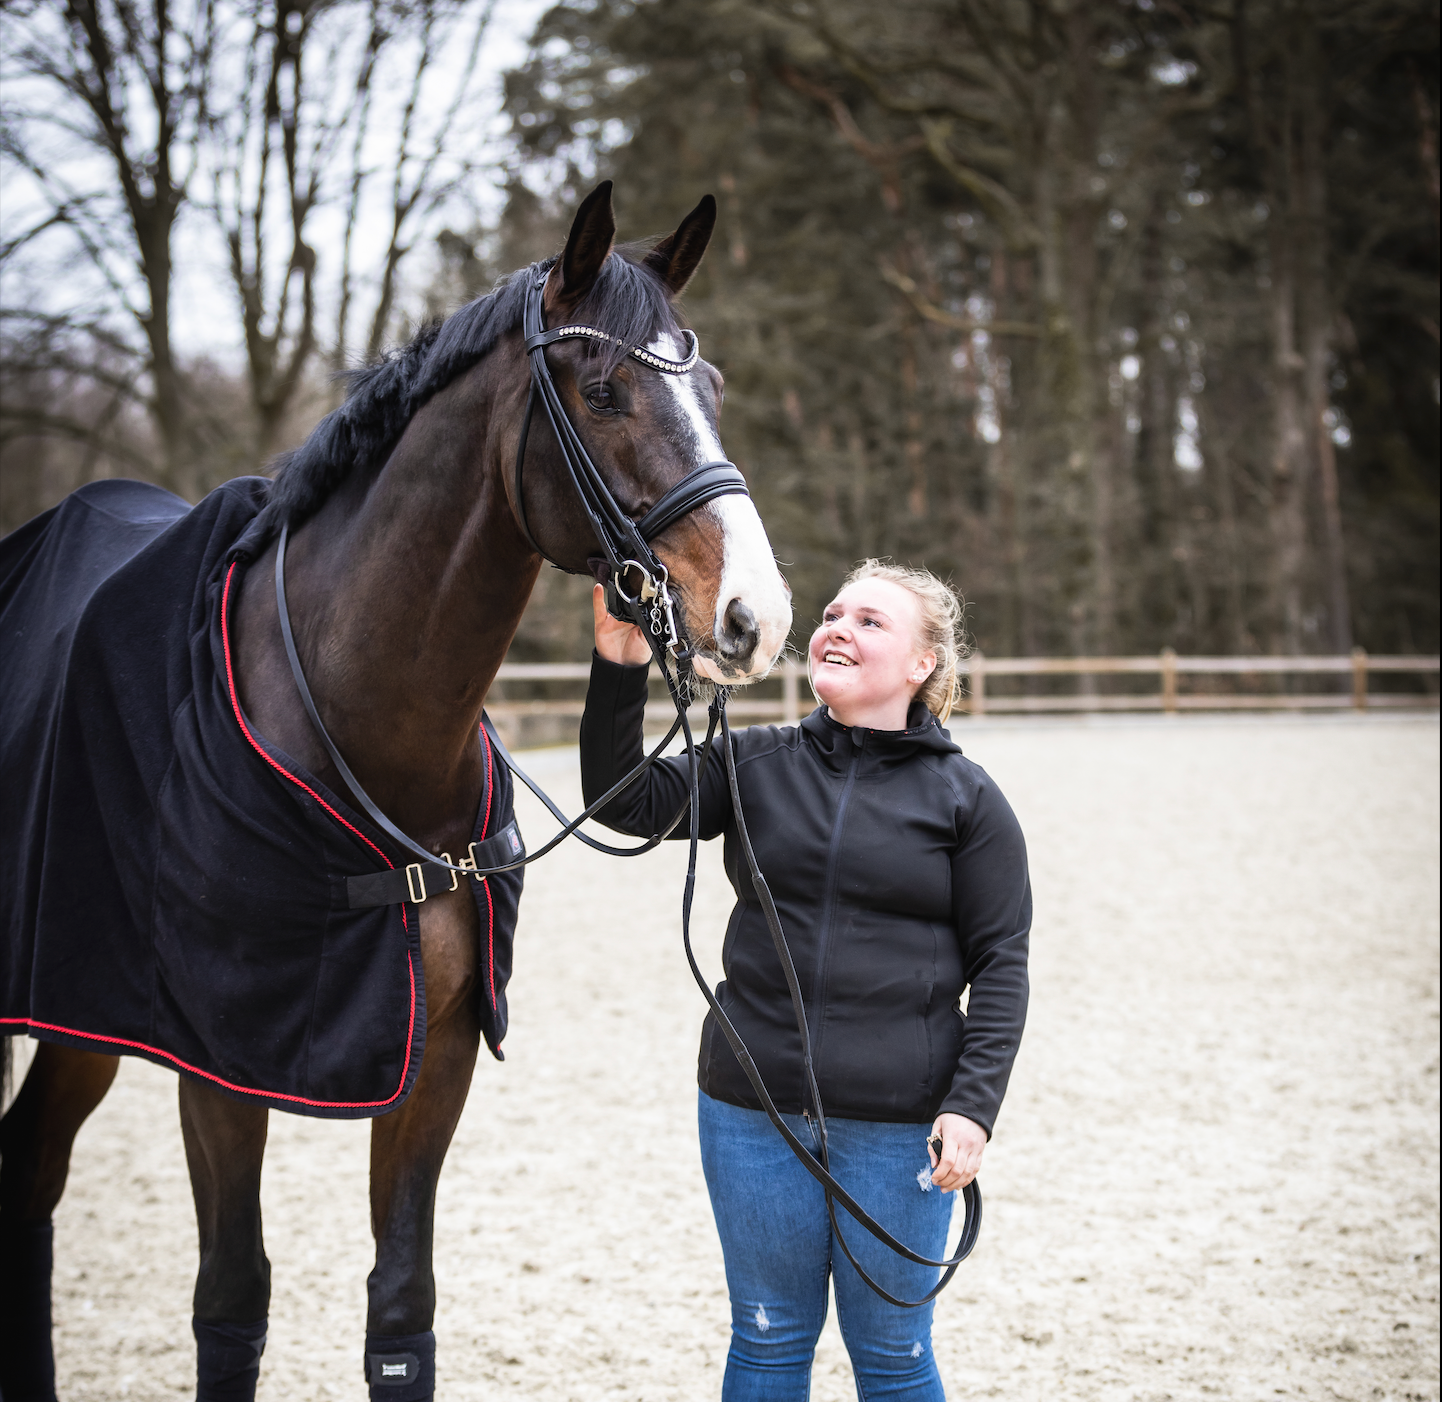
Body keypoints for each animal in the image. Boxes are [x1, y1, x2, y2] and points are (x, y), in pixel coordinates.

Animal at [0, 186, 790, 1402]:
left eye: (707, 391)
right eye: (604, 391)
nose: (758, 614)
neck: (361, 736)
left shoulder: (441, 1053)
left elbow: (401, 1311)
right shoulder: (214, 1064)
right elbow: (232, 1302)